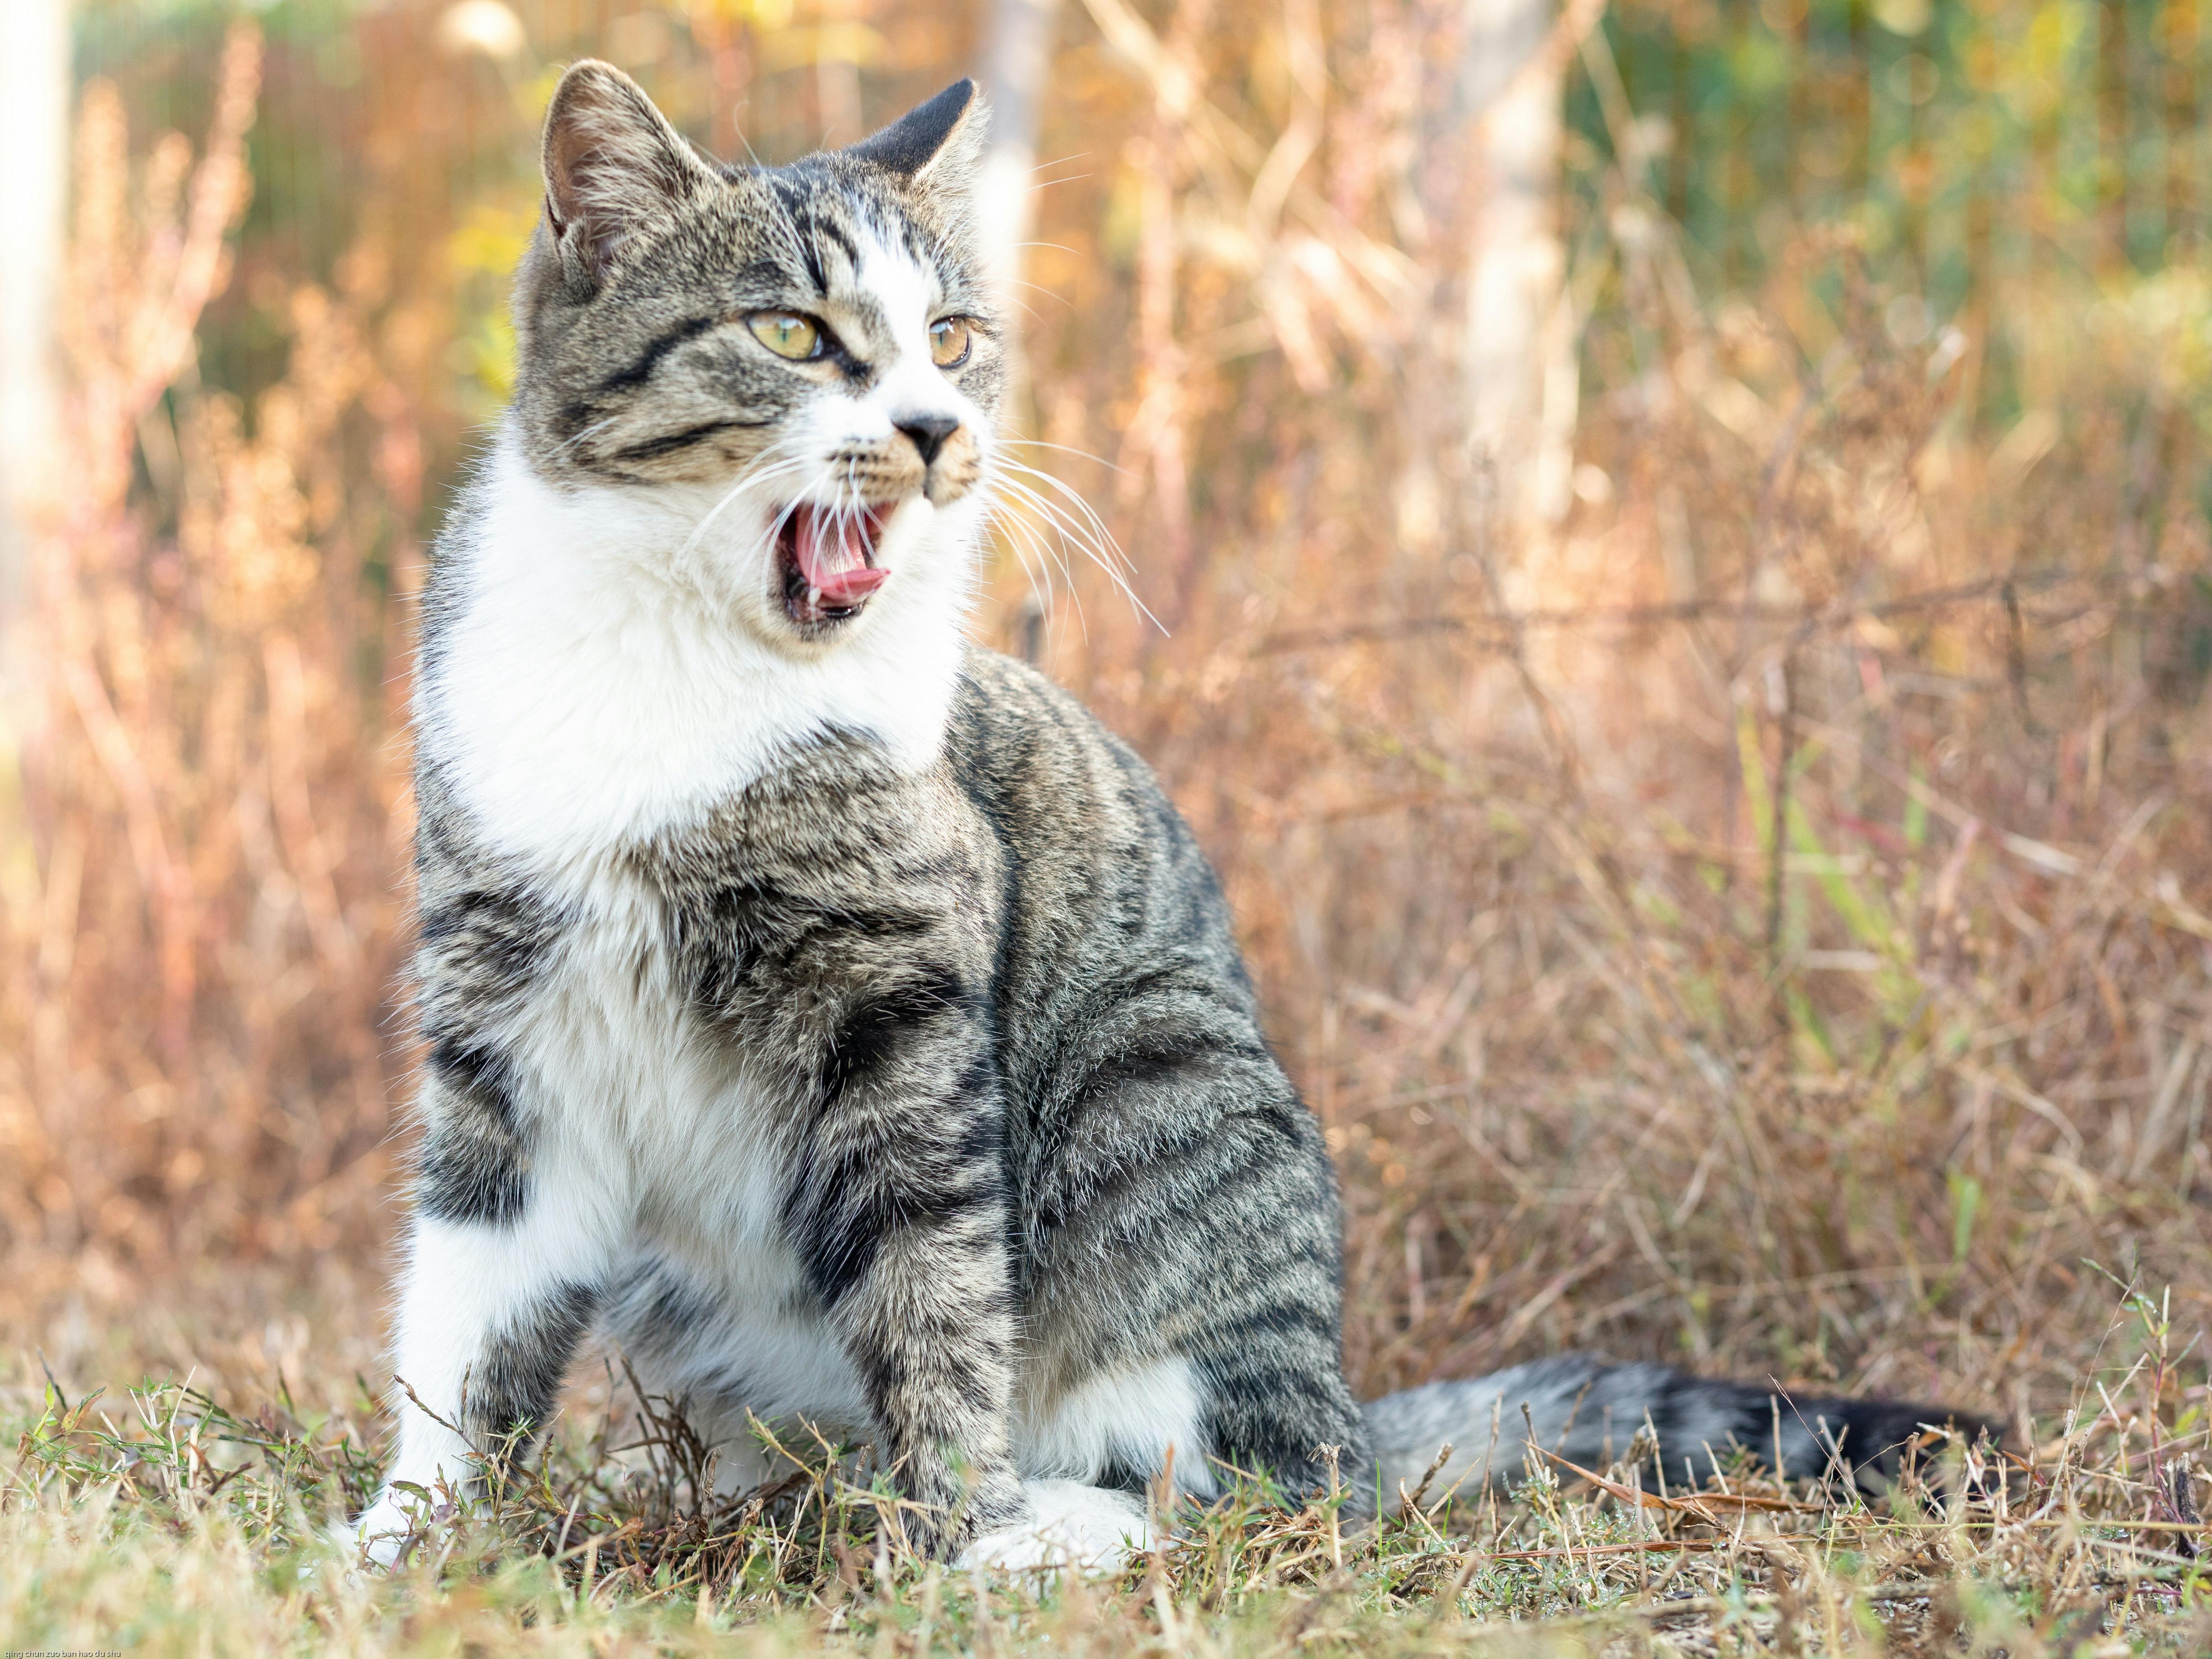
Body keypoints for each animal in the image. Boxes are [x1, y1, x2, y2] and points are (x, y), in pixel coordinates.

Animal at [358, 61, 1990, 1575]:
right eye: (793, 335)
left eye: (950, 339)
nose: (935, 428)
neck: (674, 663)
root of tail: (1349, 1404)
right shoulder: (502, 1007)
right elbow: (470, 1294)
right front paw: (411, 1530)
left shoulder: (902, 1001)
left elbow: (935, 1277)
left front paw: (957, 1541)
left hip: (1156, 1068)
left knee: (1258, 1480)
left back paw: (1055, 1519)